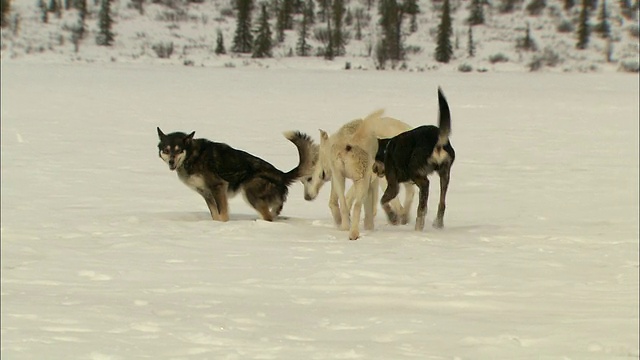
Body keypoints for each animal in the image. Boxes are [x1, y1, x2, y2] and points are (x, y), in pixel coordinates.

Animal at [156, 128, 314, 221]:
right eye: (166, 150)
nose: (171, 162)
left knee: (268, 216)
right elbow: (215, 214)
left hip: (250, 191)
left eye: (178, 150)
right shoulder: (206, 193)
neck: (192, 156)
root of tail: (281, 175)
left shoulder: (218, 187)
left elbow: (223, 214)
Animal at [378, 87, 458, 231]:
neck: (386, 148)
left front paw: (392, 217)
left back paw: (418, 227)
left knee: (423, 201)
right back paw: (437, 223)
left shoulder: (393, 185)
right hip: (445, 174)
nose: (373, 169)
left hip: (416, 173)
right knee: (441, 203)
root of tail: (437, 141)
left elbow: (383, 201)